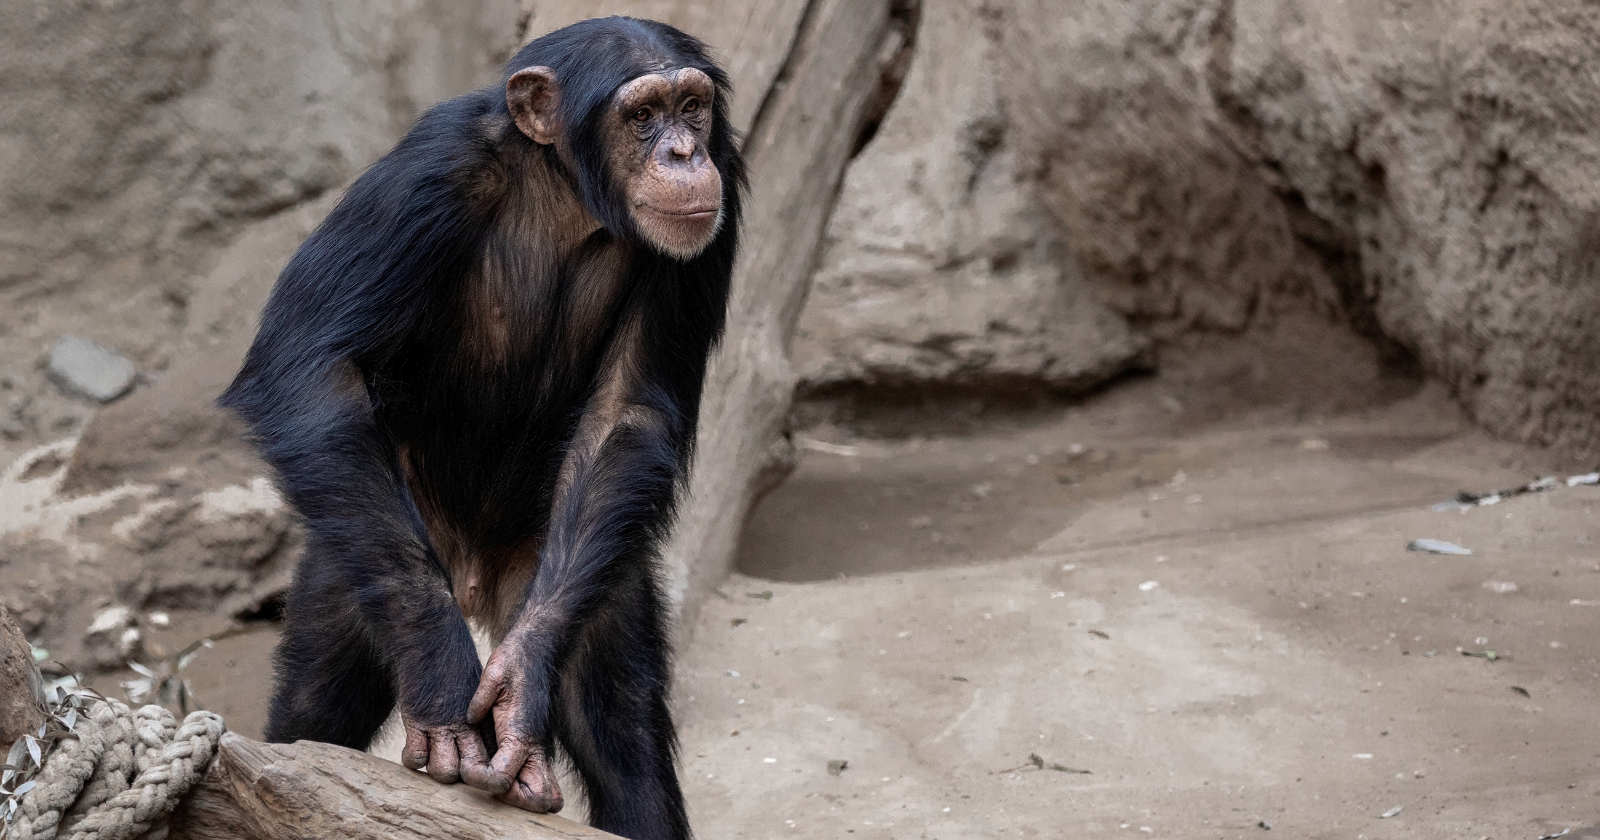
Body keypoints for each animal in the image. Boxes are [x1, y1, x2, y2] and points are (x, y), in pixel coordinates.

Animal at [218, 17, 744, 840]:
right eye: (641, 116)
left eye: (692, 108)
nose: (684, 155)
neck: (567, 193)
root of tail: (472, 583)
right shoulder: (425, 174)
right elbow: (309, 364)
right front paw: (440, 678)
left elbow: (626, 409)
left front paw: (520, 687)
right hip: (359, 545)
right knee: (314, 707)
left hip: (566, 566)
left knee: (623, 735)